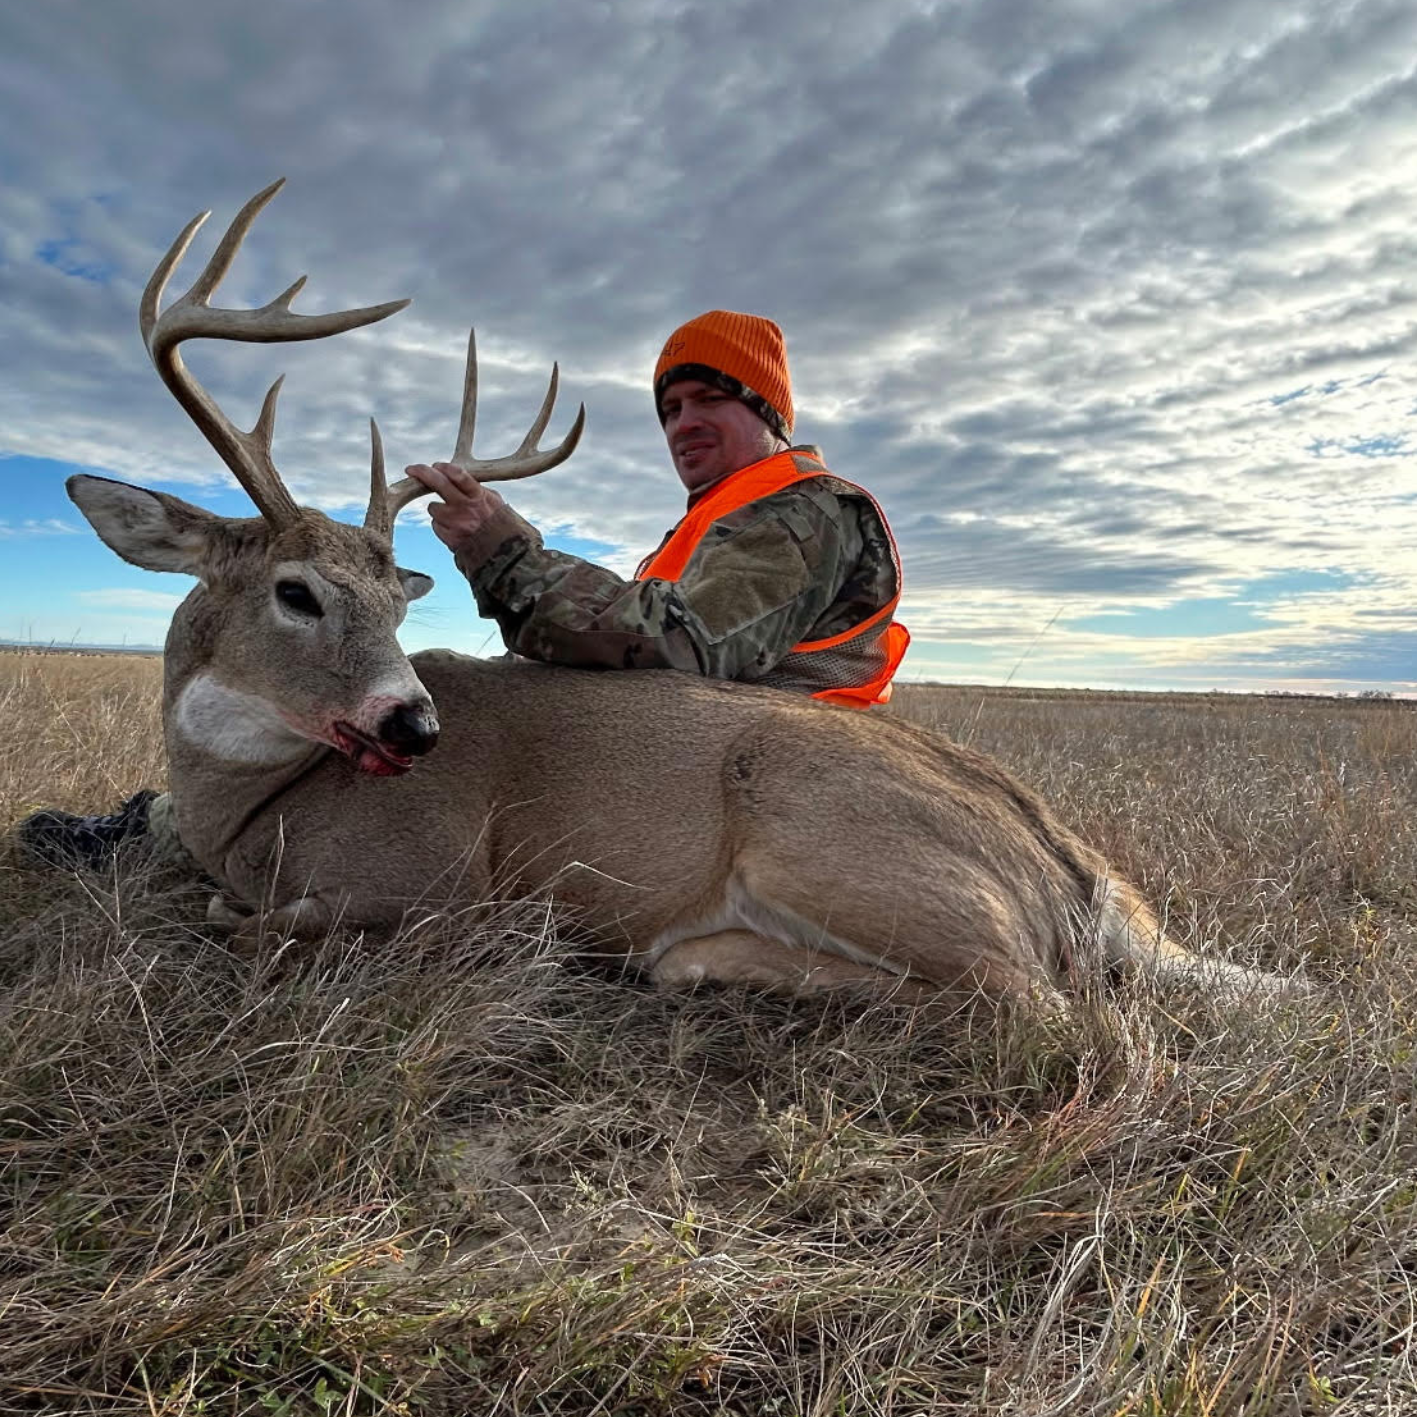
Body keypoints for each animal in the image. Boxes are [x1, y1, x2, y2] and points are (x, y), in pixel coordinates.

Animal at [67, 180, 1274, 1004]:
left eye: (396, 605)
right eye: (298, 592)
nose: (414, 724)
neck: (260, 809)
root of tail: (1085, 882)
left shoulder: (432, 883)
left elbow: (245, 923)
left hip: (837, 842)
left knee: (1048, 1007)